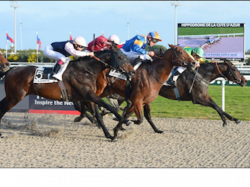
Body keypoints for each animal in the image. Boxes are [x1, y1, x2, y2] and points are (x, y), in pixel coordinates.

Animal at [0, 44, 135, 140]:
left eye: (126, 57)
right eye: (121, 57)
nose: (133, 72)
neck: (86, 70)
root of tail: (10, 70)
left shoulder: (89, 97)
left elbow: (98, 116)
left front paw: (109, 135)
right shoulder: (89, 95)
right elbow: (108, 107)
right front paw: (126, 121)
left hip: (11, 96)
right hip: (15, 97)